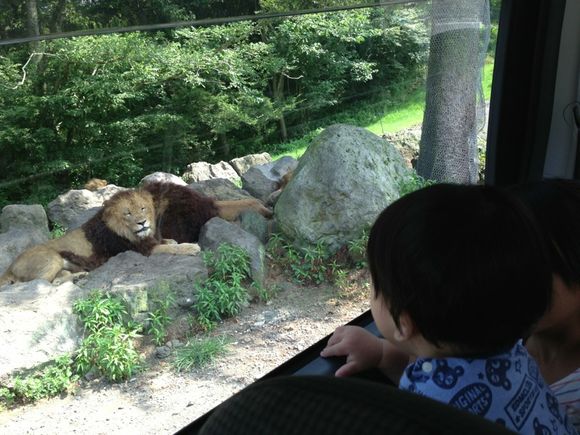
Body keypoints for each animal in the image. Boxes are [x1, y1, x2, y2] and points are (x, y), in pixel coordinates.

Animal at [0, 182, 272, 288]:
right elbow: (172, 247)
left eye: (142, 209)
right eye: (127, 213)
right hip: (51, 259)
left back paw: (78, 277)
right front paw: (190, 247)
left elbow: (167, 241)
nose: (142, 223)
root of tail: (9, 267)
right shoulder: (143, 250)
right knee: (37, 283)